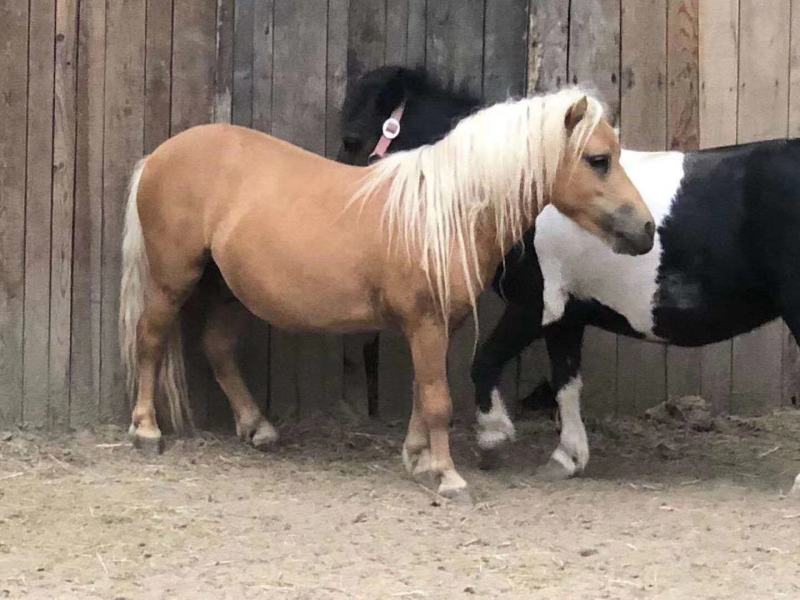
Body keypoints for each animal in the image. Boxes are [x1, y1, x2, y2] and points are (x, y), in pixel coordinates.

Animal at [118, 87, 654, 501]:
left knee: (218, 349)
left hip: (226, 287)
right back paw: (146, 429)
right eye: (599, 160)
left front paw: (418, 459)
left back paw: (258, 427)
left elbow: (423, 390)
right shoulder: (426, 322)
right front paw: (448, 477)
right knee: (151, 339)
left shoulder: (438, 325)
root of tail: (158, 156)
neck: (443, 211)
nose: (646, 230)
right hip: (172, 279)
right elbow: (438, 400)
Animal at [340, 66, 800, 492]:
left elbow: (484, 363)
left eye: (351, 139)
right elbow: (567, 384)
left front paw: (493, 437)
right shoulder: (568, 315)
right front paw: (567, 457)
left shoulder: (534, 306)